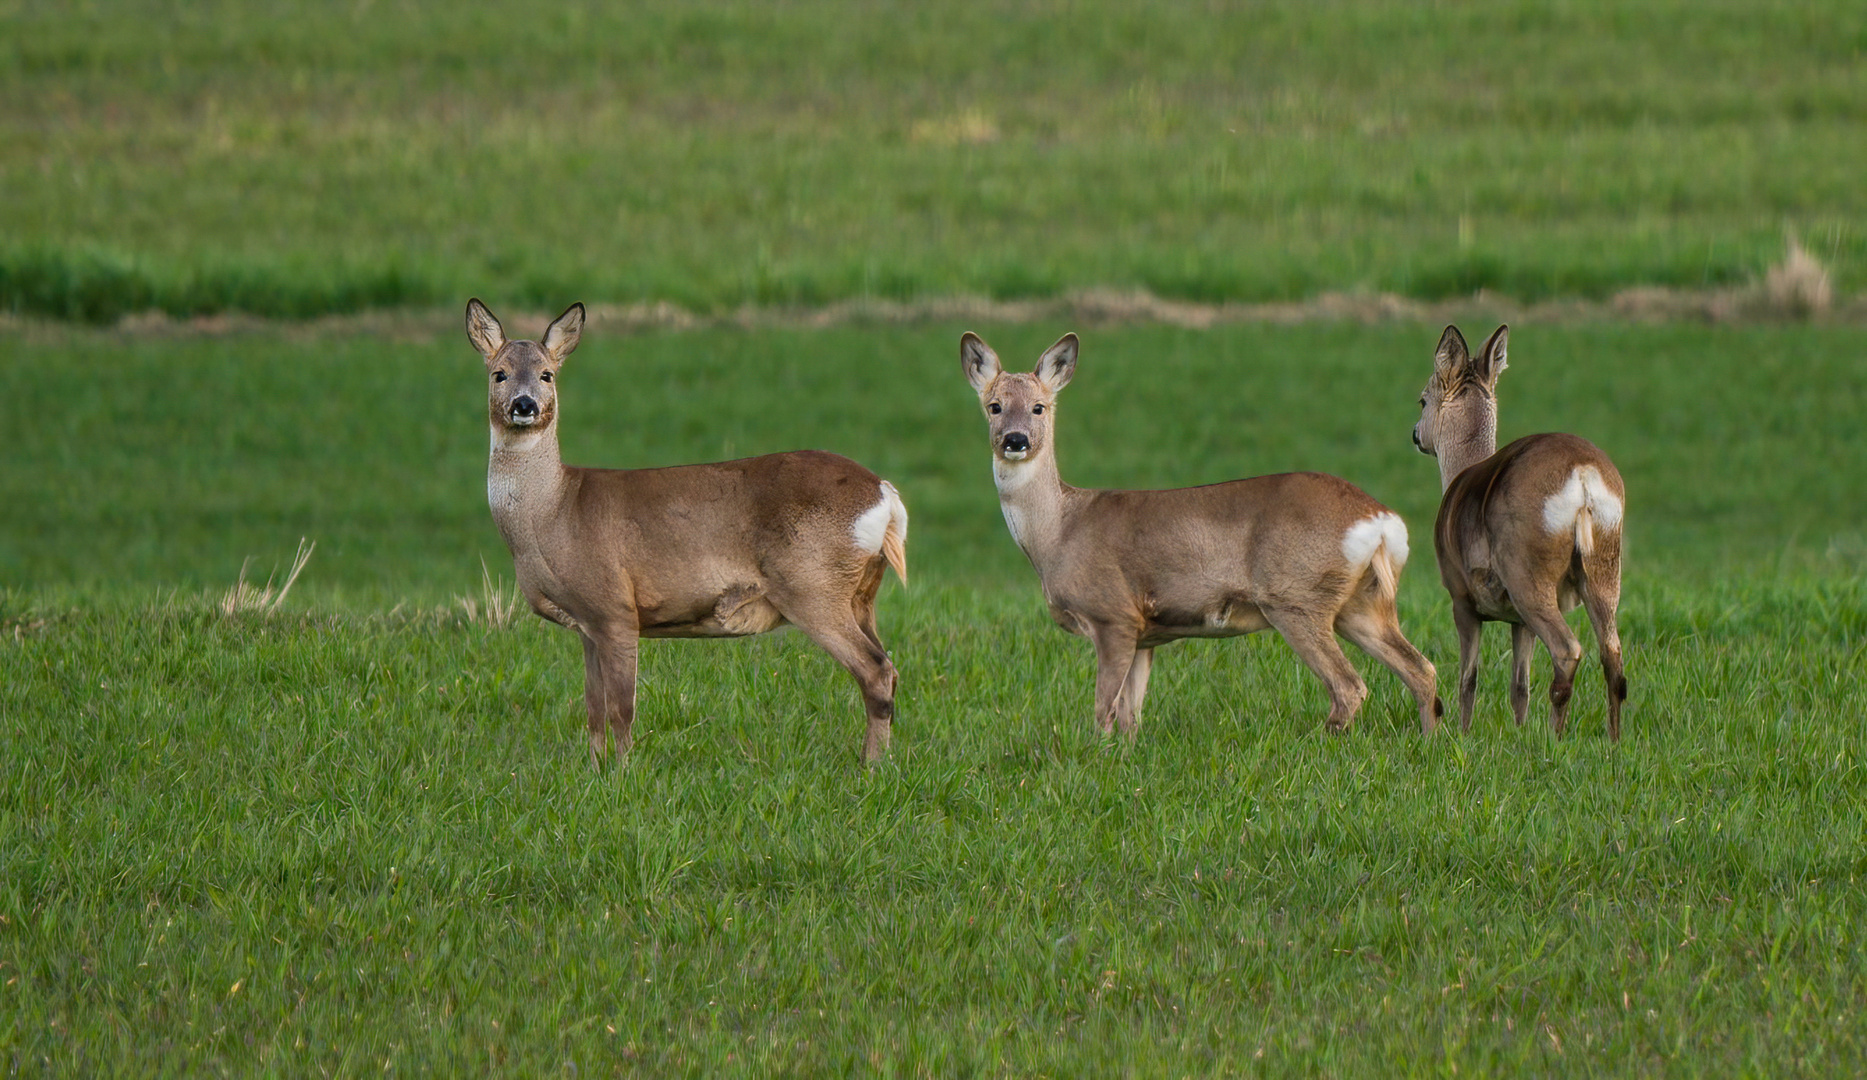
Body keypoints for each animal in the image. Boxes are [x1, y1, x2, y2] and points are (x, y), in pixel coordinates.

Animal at [463, 298, 907, 762]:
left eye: (547, 374)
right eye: (499, 373)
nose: (525, 404)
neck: (554, 512)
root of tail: (884, 493)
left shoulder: (615, 607)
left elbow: (622, 708)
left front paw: (624, 771)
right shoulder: (588, 624)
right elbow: (593, 708)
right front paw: (593, 767)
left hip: (812, 584)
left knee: (876, 670)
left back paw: (871, 765)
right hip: (861, 594)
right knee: (888, 667)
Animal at [1403, 323, 1628, 736]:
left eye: (1423, 400)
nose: (1415, 434)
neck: (1458, 476)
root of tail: (1583, 475)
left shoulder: (1461, 596)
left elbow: (1469, 678)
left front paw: (1463, 734)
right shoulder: (1518, 621)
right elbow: (1519, 685)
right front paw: (1519, 732)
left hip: (1526, 569)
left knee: (1568, 650)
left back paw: (1556, 739)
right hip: (1605, 564)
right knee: (1613, 657)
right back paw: (1613, 741)